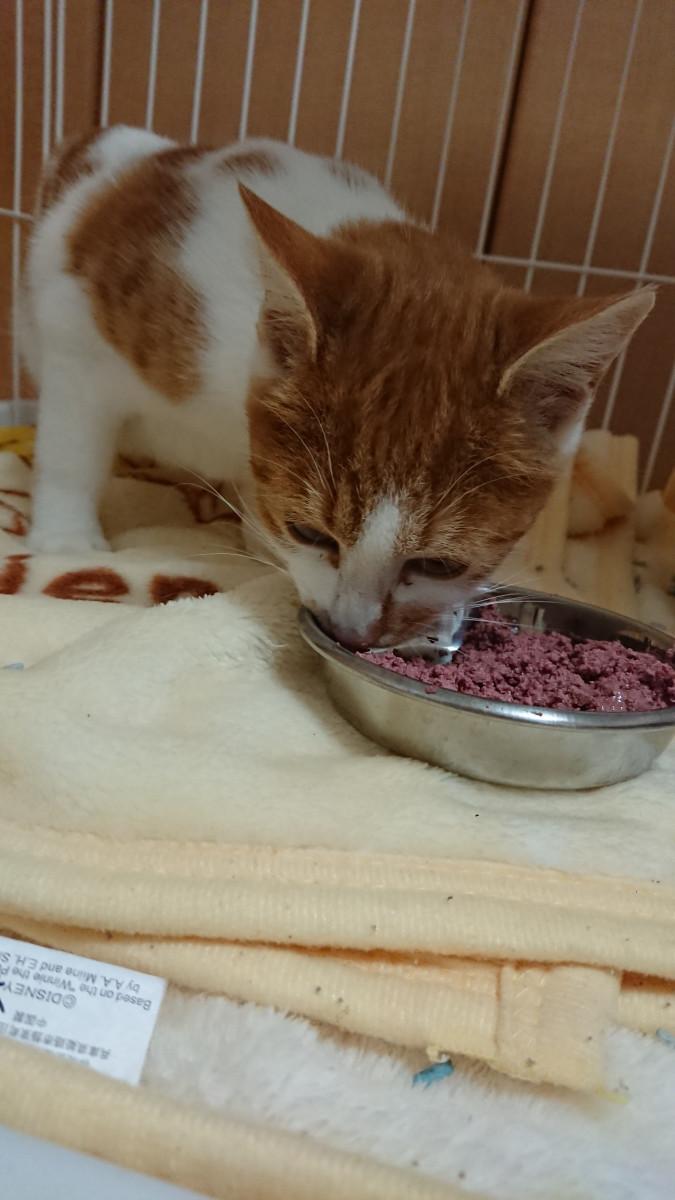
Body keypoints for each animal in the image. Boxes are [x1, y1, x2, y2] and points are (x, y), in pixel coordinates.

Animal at [22, 126, 654, 650]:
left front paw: (259, 536)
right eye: (310, 531)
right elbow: (72, 443)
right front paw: (66, 540)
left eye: (441, 566)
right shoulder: (77, 321)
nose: (352, 631)